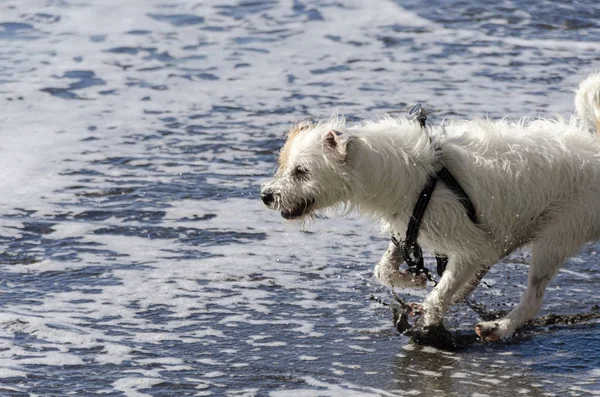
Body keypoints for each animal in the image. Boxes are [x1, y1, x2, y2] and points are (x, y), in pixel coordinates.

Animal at [264, 73, 600, 340]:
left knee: (534, 298)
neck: (413, 173)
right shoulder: (409, 228)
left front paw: (427, 324)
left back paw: (499, 327)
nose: (266, 196)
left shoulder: (469, 247)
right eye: (283, 165)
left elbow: (439, 294)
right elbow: (385, 269)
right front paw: (412, 279)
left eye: (301, 171)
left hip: (556, 238)